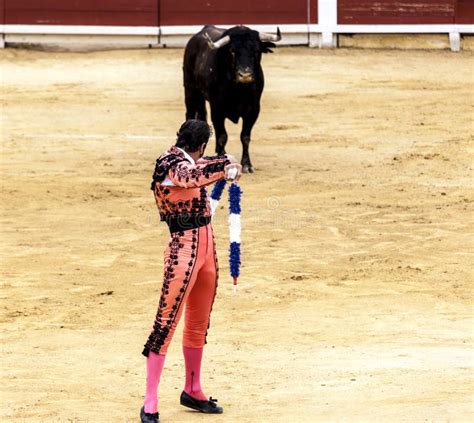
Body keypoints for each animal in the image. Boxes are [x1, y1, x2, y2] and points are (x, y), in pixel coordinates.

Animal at [181, 24, 278, 173]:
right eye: (232, 51)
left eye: (256, 50)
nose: (245, 75)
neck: (237, 89)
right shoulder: (217, 108)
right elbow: (222, 136)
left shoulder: (253, 110)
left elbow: (245, 136)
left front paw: (247, 165)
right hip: (190, 89)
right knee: (190, 115)